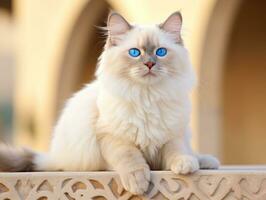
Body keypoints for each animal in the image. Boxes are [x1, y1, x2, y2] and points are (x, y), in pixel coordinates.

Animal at [0, 11, 219, 195]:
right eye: (135, 53)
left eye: (161, 52)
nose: (149, 64)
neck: (147, 96)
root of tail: (52, 155)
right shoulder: (112, 136)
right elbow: (131, 158)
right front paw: (138, 183)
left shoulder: (172, 135)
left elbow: (177, 151)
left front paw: (185, 165)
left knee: (193, 153)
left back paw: (205, 161)